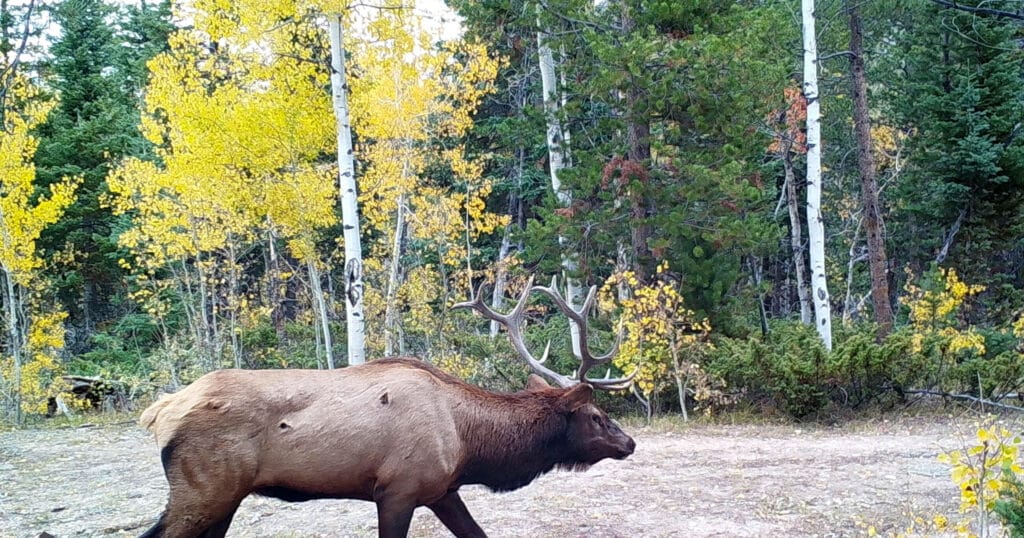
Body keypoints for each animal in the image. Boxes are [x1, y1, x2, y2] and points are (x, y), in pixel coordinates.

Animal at [136, 276, 635, 538]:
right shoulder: (397, 489)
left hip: (225, 498)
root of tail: (158, 411)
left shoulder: (441, 490)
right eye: (596, 416)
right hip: (202, 491)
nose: (630, 442)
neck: (470, 444)